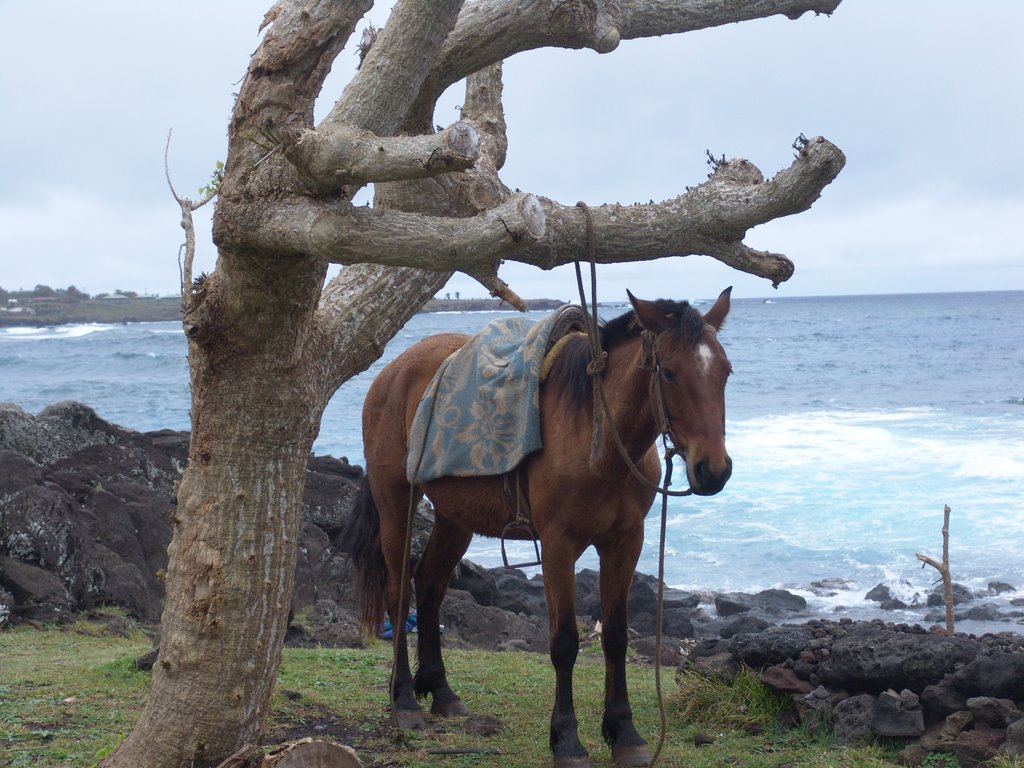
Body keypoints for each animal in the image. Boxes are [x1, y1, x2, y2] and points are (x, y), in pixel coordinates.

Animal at [348, 290, 733, 768]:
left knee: (431, 585)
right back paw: (403, 700)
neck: (597, 434)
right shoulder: (558, 546)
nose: (713, 470)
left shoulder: (625, 542)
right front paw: (566, 739)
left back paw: (440, 691)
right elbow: (565, 642)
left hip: (455, 518)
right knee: (400, 595)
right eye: (669, 371)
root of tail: (392, 373)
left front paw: (624, 733)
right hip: (395, 503)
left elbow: (616, 636)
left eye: (725, 371)